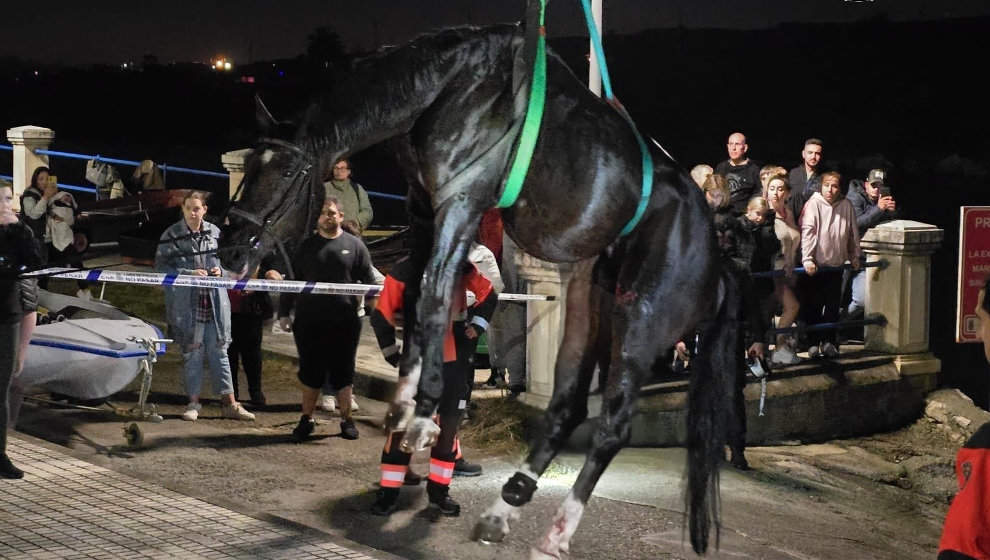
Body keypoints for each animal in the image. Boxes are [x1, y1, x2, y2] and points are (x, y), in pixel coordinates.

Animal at [219, 4, 739, 557]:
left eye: (287, 171)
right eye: (249, 166)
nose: (231, 247)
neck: (451, 86)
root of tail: (716, 260)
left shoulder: (462, 199)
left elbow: (431, 295)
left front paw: (420, 413)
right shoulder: (425, 207)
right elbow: (420, 297)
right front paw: (408, 400)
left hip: (641, 319)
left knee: (613, 427)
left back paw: (557, 532)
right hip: (588, 305)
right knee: (566, 408)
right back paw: (505, 507)